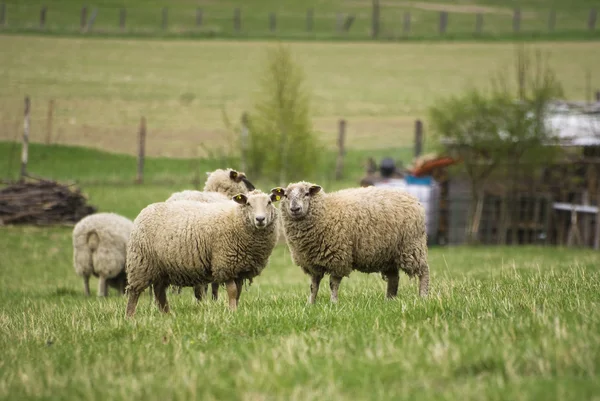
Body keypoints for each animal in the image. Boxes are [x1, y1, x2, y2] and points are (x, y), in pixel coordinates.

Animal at [126, 189, 282, 318]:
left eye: (269, 202)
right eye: (248, 203)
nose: (260, 219)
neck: (236, 218)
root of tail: (145, 210)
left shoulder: (239, 268)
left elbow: (238, 293)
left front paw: (236, 310)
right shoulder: (224, 263)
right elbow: (232, 291)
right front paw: (232, 313)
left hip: (162, 268)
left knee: (159, 292)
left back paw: (167, 315)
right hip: (141, 262)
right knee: (134, 292)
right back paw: (130, 317)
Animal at [270, 181, 428, 304]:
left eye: (307, 194)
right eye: (286, 195)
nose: (295, 208)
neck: (326, 211)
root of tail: (412, 197)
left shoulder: (337, 257)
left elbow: (333, 283)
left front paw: (333, 303)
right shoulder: (312, 262)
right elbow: (313, 285)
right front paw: (311, 304)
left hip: (411, 246)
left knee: (423, 271)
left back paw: (423, 296)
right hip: (388, 254)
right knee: (394, 278)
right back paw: (390, 300)